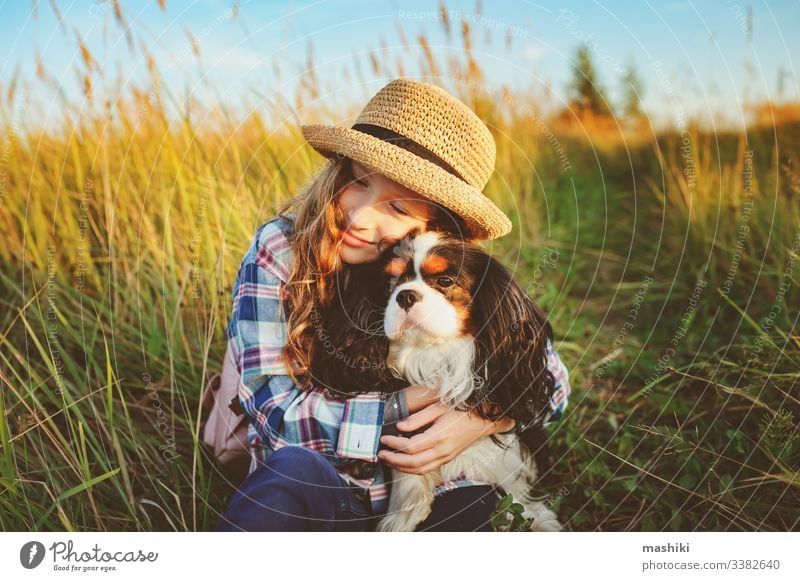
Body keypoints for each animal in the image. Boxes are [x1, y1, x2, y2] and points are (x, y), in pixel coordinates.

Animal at [310, 227, 560, 532]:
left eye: (445, 281)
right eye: (390, 283)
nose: (405, 295)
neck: (434, 355)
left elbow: (510, 473)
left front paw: (534, 516)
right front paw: (403, 516)